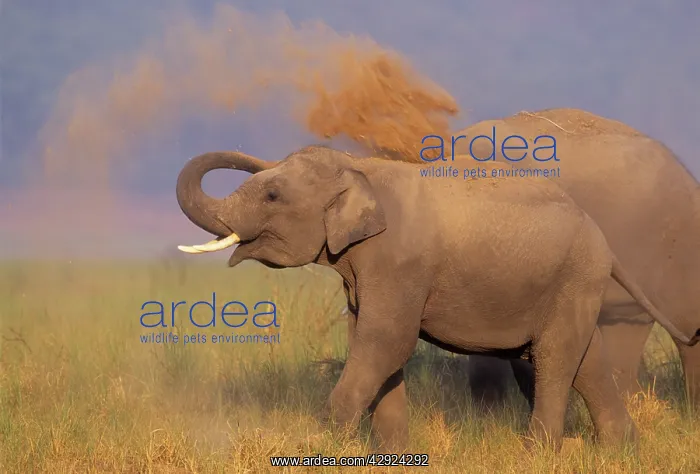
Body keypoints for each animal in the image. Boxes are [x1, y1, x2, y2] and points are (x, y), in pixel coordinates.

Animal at [174, 145, 700, 452]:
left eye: (273, 195)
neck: (361, 169)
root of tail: (603, 241)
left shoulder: (400, 262)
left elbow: (387, 341)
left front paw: (323, 446)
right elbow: (375, 344)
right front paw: (393, 455)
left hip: (575, 276)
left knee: (553, 358)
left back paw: (539, 453)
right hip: (572, 283)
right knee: (585, 360)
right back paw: (621, 451)